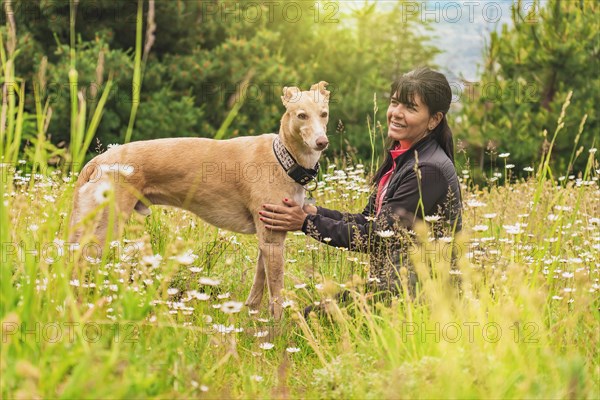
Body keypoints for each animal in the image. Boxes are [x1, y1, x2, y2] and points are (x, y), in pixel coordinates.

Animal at [71, 81, 332, 318]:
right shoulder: (273, 241)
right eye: (301, 115)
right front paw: (276, 333)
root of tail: (98, 161)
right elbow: (276, 297)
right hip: (102, 231)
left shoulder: (269, 236)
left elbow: (258, 289)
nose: (322, 142)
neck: (284, 158)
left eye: (324, 113)